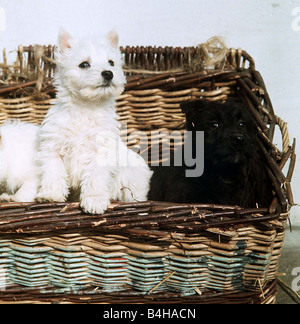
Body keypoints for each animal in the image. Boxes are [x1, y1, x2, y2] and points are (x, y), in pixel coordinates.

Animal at [37, 29, 152, 214]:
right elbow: (53, 173)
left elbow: (95, 178)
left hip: (134, 186)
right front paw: (50, 195)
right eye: (84, 64)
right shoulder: (54, 149)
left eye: (111, 63)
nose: (108, 73)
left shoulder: (101, 153)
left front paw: (94, 201)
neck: (86, 108)